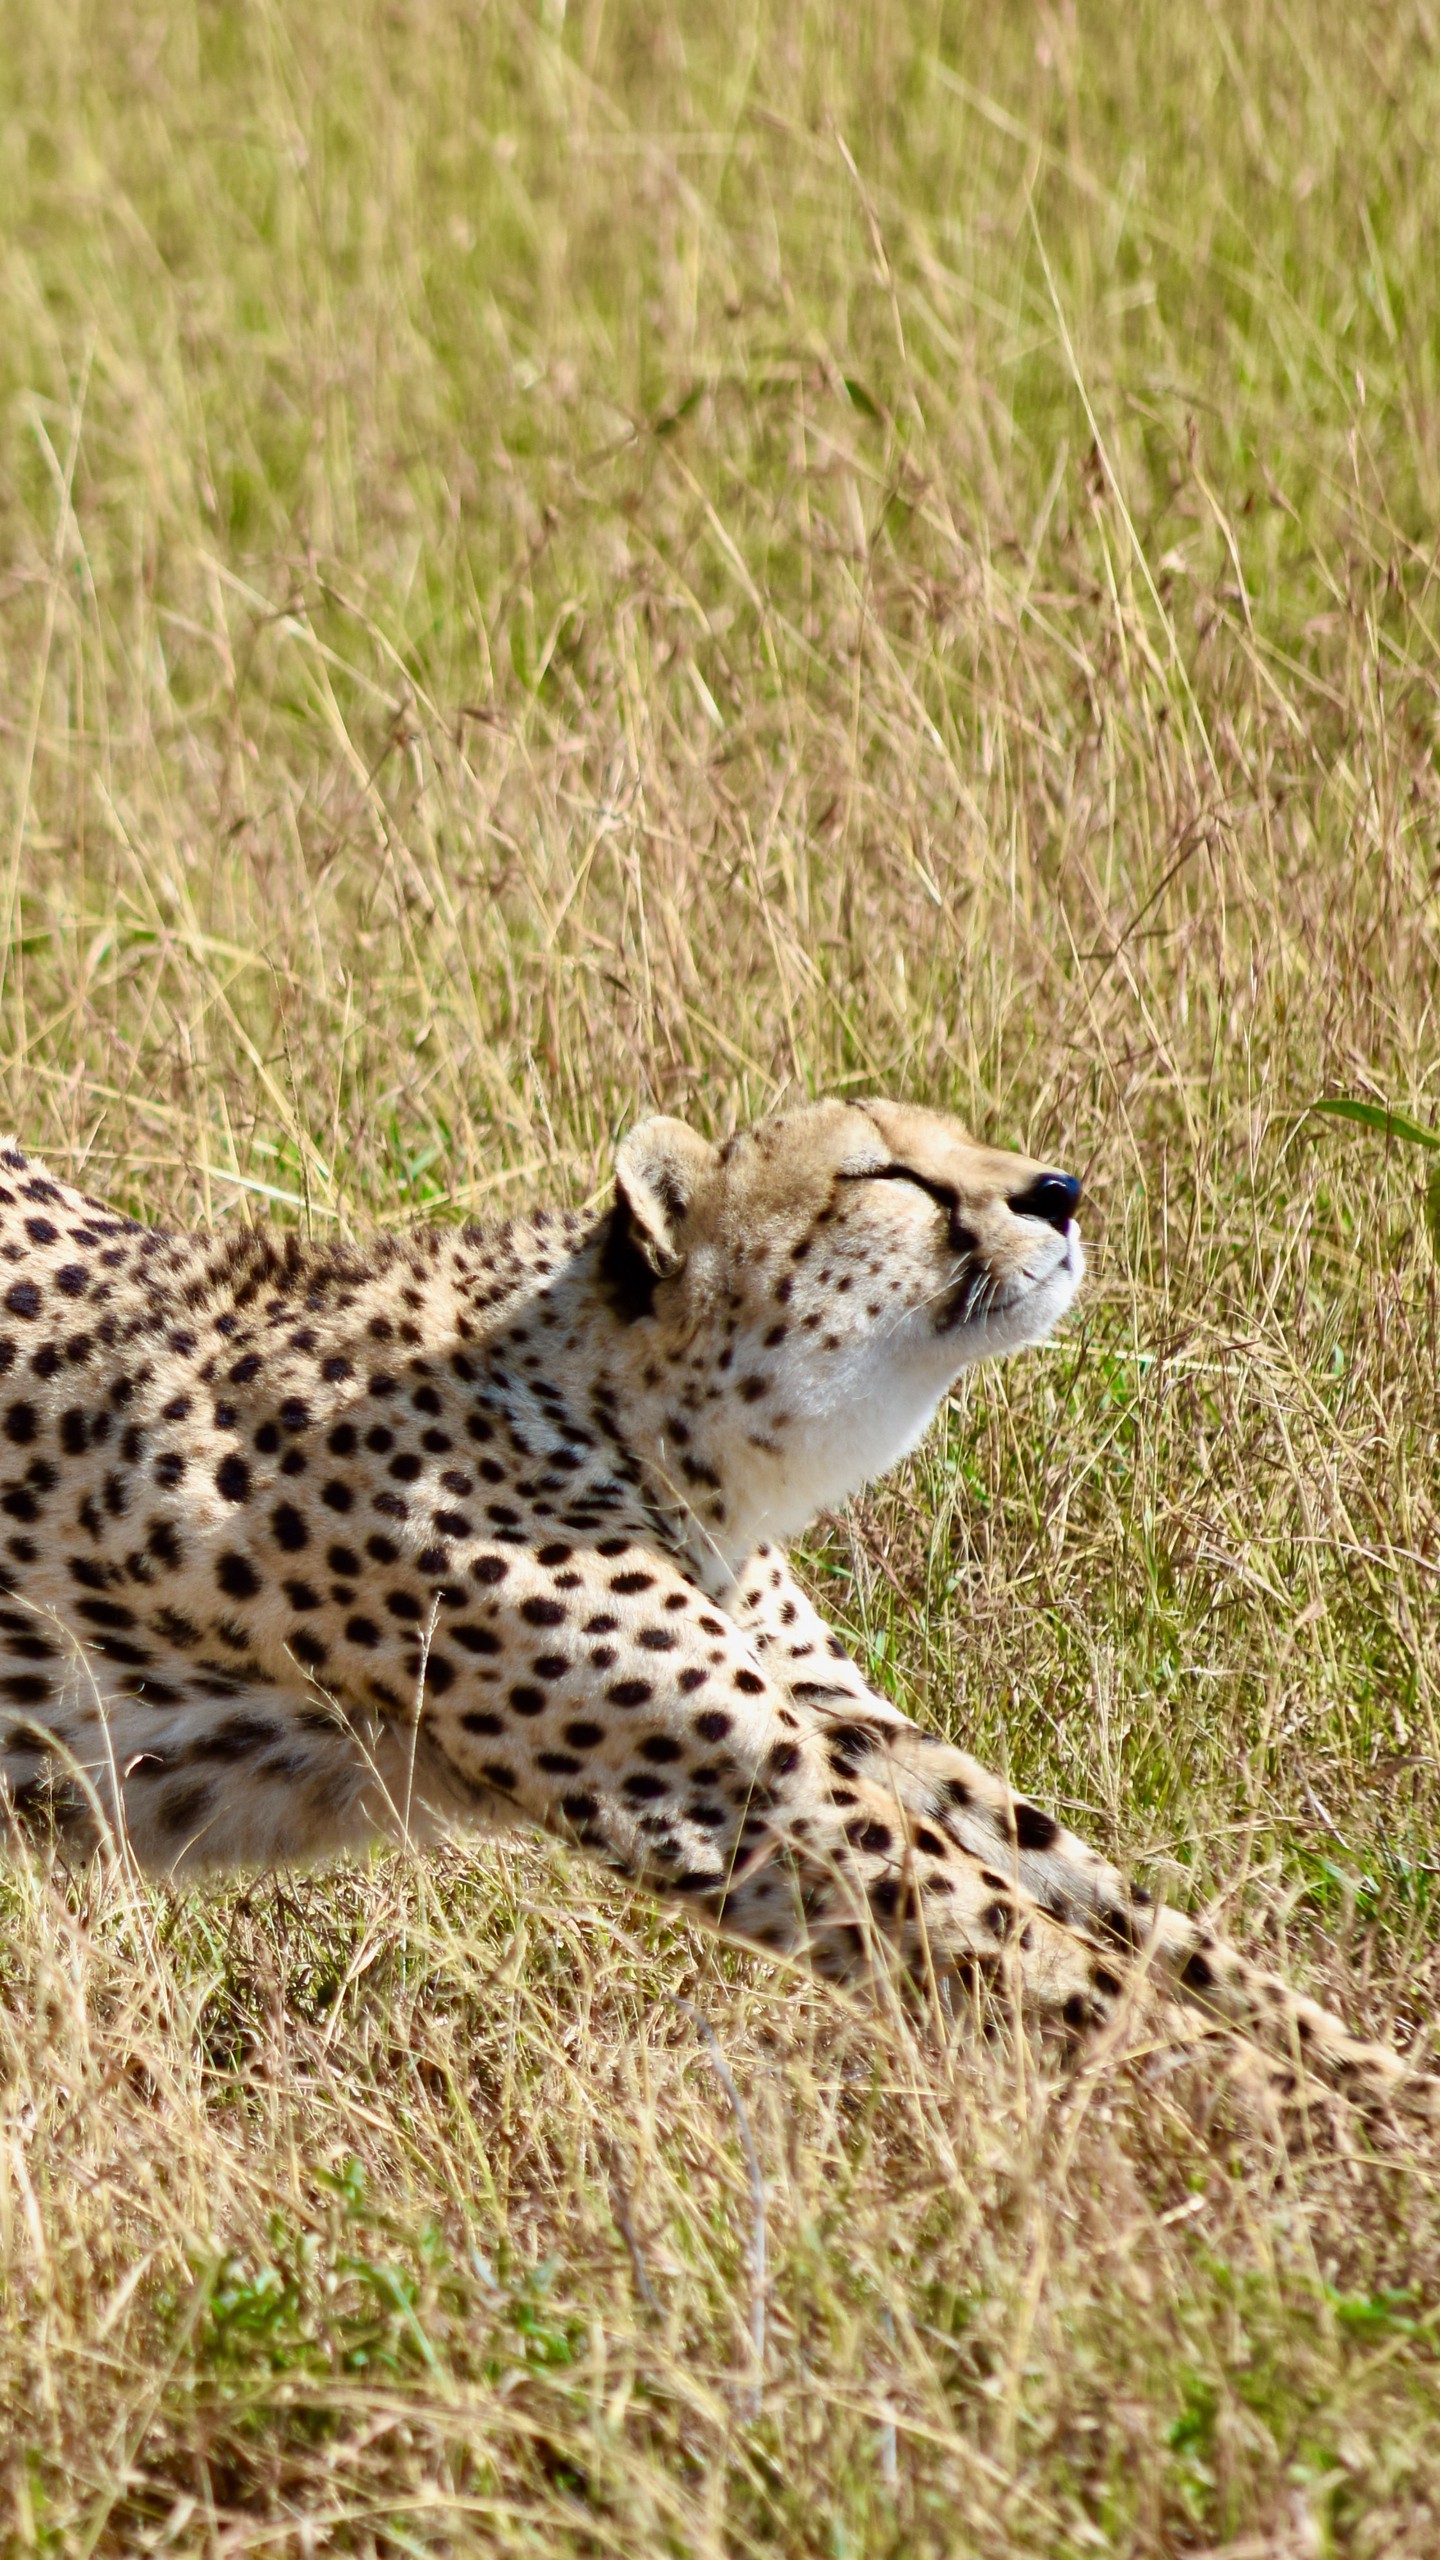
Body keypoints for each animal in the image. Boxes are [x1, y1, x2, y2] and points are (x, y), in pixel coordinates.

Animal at [0, 1100, 1424, 2119]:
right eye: (886, 1175)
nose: (1060, 1191)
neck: (630, 1416)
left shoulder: (834, 1714)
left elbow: (1125, 1913)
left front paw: (1387, 2083)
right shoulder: (739, 1791)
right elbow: (1057, 1962)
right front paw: (1356, 2161)